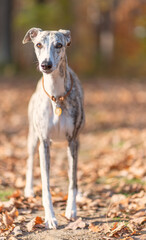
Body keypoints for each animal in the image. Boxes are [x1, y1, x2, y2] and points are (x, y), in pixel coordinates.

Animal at [22, 28, 84, 229]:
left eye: (59, 45)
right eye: (38, 44)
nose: (46, 65)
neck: (56, 96)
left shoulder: (72, 140)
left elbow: (72, 180)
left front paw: (71, 209)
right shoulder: (44, 142)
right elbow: (46, 183)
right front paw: (50, 217)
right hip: (33, 137)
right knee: (29, 161)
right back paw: (28, 190)